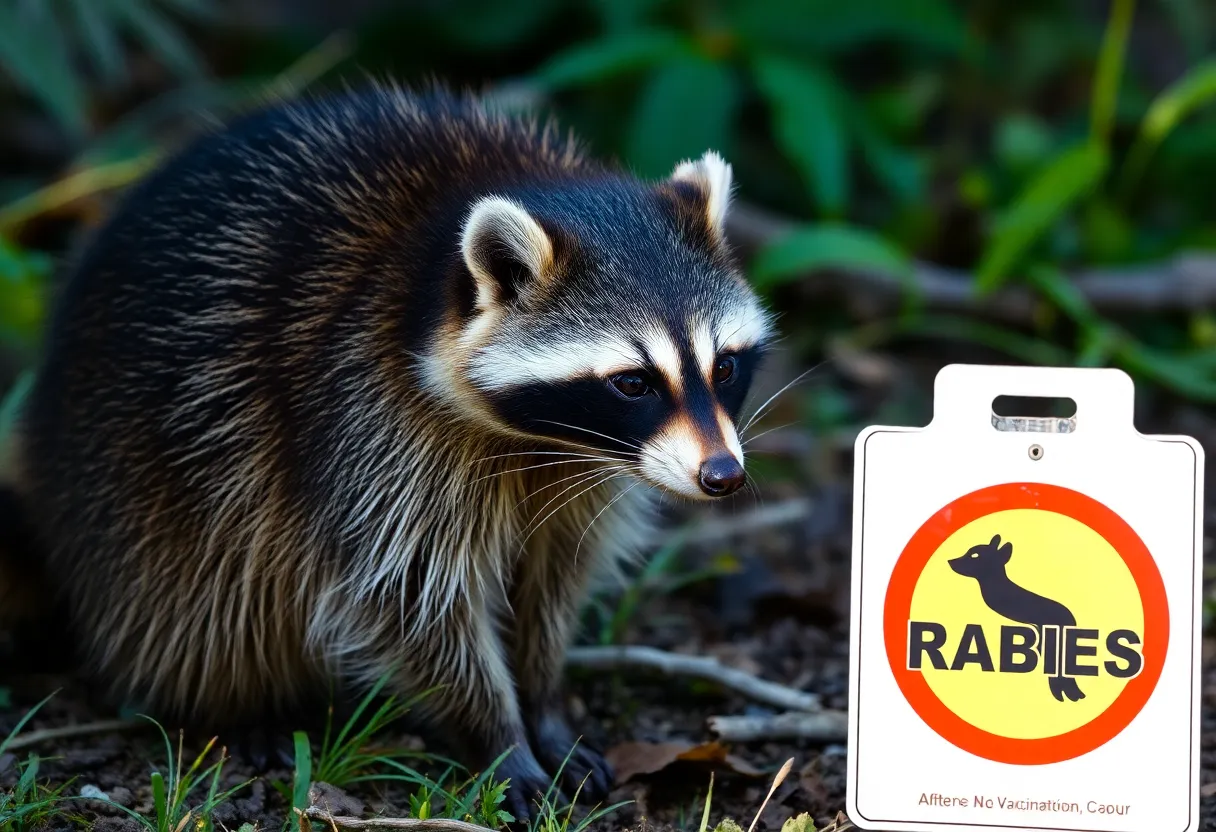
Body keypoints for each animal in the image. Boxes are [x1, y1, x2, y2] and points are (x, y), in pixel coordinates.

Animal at [9, 83, 774, 818]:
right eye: (632, 382)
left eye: (725, 366)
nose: (722, 476)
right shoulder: (364, 419)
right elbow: (410, 599)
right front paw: (498, 736)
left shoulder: (582, 475)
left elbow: (554, 576)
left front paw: (545, 701)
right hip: (139, 480)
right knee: (202, 592)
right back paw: (237, 703)